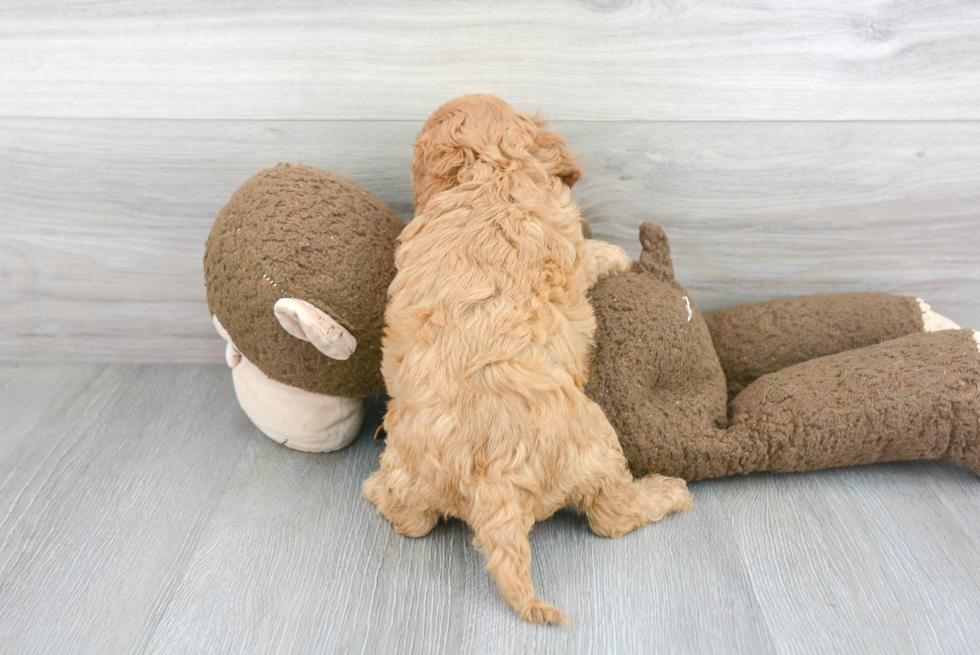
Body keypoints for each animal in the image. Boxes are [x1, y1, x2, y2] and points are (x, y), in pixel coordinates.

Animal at [364, 96, 692, 624]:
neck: (490, 169)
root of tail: (492, 479)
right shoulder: (569, 244)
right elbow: (591, 255)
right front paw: (616, 253)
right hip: (596, 443)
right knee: (611, 516)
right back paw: (667, 491)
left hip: (410, 470)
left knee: (410, 520)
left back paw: (376, 490)